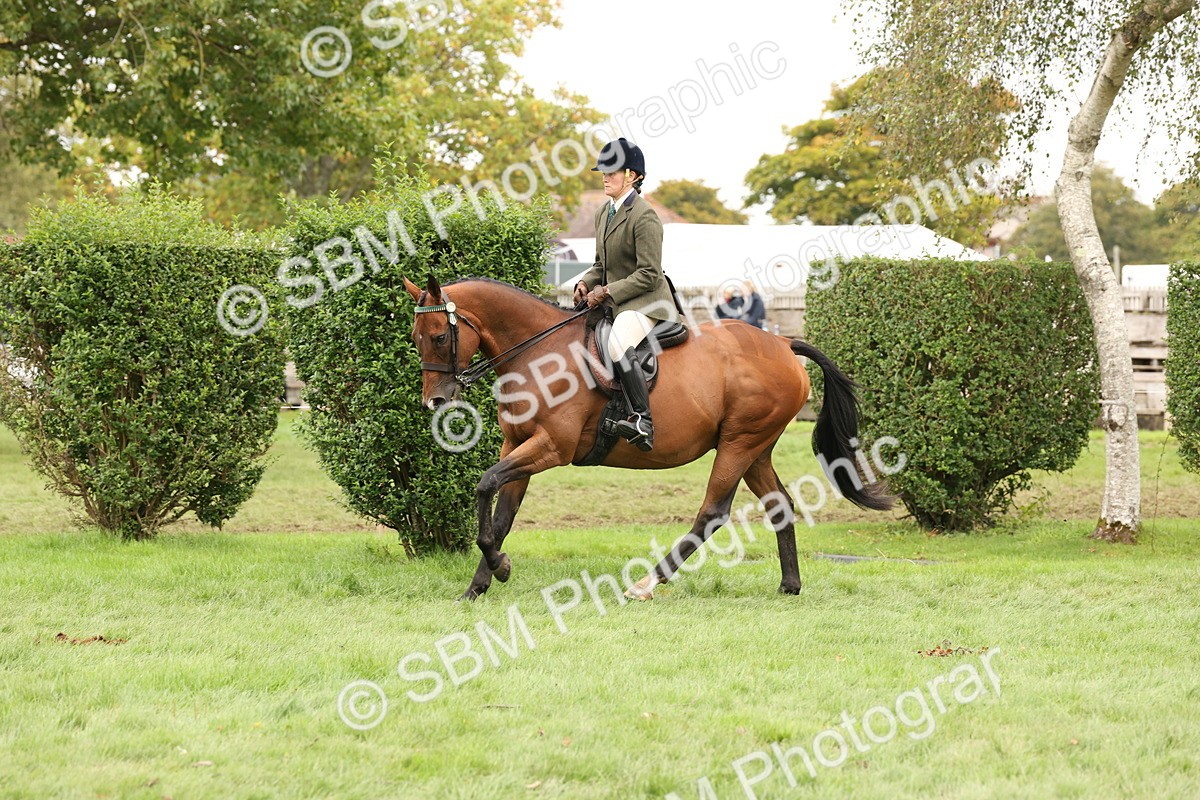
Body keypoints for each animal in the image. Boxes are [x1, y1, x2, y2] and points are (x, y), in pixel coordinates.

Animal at [404, 274, 893, 601]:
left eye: (439, 336)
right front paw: (481, 583)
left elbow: (485, 483)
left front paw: (498, 569)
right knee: (780, 506)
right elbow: (501, 515)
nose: (435, 401)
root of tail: (784, 344)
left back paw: (645, 583)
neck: (537, 353)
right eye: (414, 338)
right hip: (756, 448)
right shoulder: (517, 446)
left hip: (739, 444)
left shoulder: (550, 449)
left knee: (712, 513)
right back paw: (789, 586)